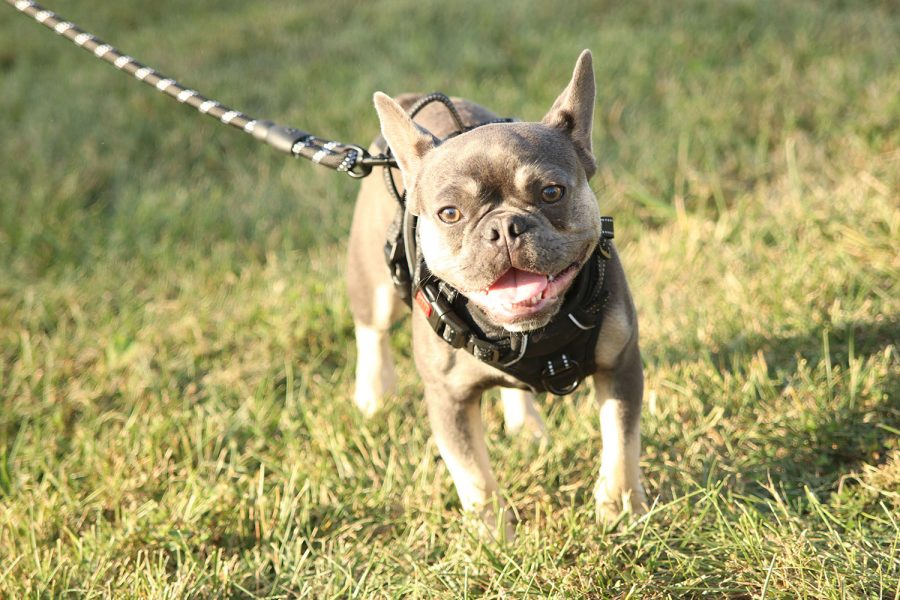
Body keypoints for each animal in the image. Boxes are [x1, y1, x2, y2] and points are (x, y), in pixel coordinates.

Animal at [346, 51, 648, 540]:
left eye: (551, 192)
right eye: (450, 213)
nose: (505, 226)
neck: (536, 337)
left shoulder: (619, 365)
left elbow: (621, 442)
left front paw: (621, 509)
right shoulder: (449, 399)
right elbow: (472, 473)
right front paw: (493, 534)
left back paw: (525, 424)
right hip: (372, 279)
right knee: (371, 329)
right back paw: (374, 393)